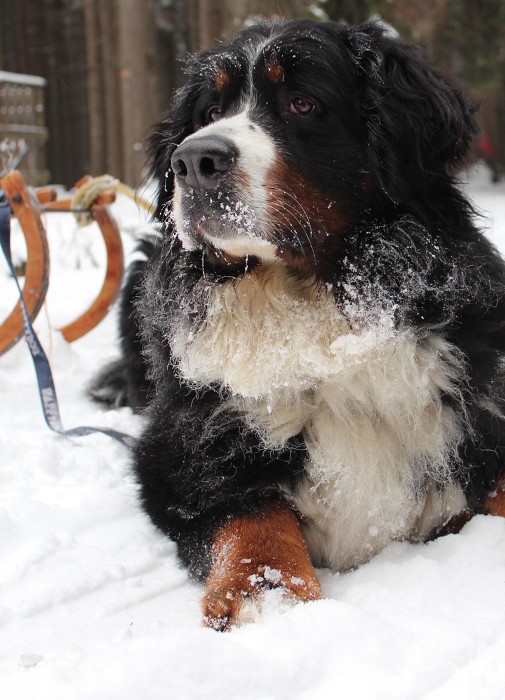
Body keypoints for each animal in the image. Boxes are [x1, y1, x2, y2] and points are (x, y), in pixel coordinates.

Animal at [90, 19, 504, 632]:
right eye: (210, 110)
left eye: (302, 103)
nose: (192, 161)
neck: (311, 309)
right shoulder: (182, 446)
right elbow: (250, 514)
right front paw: (264, 593)